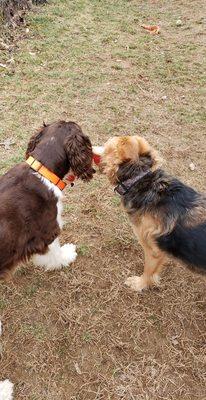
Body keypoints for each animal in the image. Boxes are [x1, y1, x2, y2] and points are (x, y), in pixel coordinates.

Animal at [93, 136, 206, 292]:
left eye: (106, 145)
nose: (89, 146)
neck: (140, 180)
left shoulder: (153, 250)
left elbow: (148, 270)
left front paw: (140, 284)